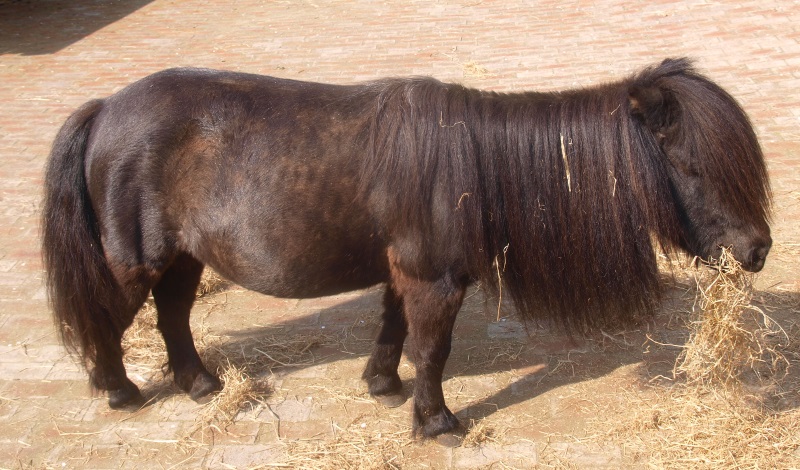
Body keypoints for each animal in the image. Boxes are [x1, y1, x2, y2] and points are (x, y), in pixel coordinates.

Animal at [42, 58, 771, 445]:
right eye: (691, 166)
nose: (757, 249)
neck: (475, 166)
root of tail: (106, 109)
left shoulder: (406, 275)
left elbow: (393, 331)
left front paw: (383, 387)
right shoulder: (435, 281)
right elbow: (432, 350)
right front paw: (437, 421)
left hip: (181, 258)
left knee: (172, 317)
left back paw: (197, 384)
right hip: (134, 262)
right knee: (110, 319)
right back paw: (120, 390)